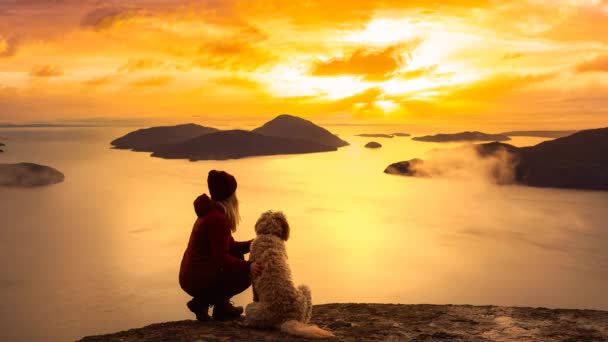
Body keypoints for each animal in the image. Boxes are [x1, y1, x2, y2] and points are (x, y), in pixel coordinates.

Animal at [245, 211, 334, 340]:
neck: (269, 234)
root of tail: (287, 318)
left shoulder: (253, 277)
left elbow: (254, 294)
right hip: (305, 291)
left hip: (250, 308)